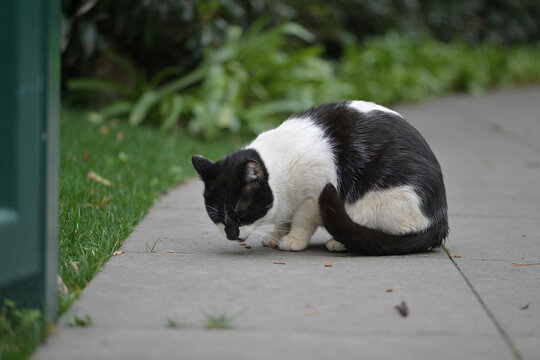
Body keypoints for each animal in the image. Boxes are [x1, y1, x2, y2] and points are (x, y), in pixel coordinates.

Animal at [192, 100, 450, 255]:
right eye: (215, 215)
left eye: (241, 213)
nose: (231, 234)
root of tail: (440, 220)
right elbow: (284, 219)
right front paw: (276, 235)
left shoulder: (314, 194)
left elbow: (301, 220)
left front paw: (293, 239)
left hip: (376, 198)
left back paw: (341, 242)